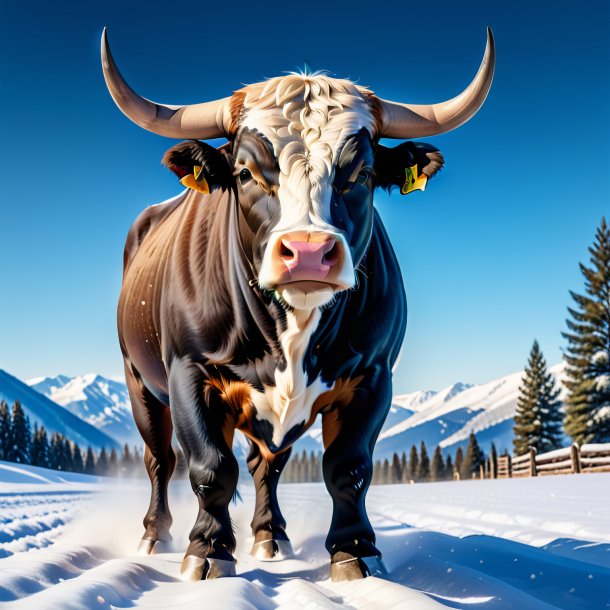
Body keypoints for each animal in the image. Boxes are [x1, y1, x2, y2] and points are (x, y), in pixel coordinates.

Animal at [102, 29, 494, 580]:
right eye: (245, 172)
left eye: (362, 174)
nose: (308, 251)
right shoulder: (188, 371)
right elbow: (210, 465)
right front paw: (208, 551)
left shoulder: (373, 376)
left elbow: (348, 467)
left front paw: (355, 550)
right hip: (139, 382)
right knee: (160, 460)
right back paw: (155, 536)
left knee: (266, 464)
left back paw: (271, 536)